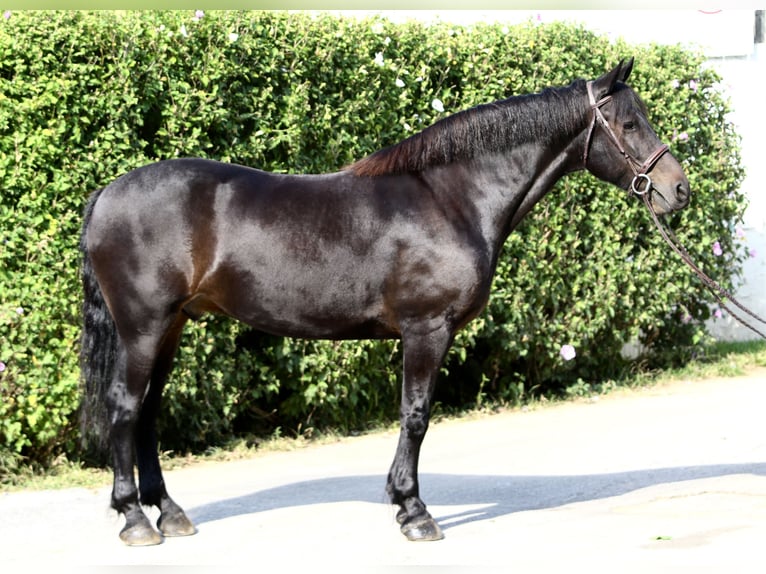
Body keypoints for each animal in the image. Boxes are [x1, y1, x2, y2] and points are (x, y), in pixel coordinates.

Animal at [80, 58, 690, 546]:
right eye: (629, 123)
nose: (678, 189)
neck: (453, 199)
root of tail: (106, 192)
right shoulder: (427, 329)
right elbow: (415, 416)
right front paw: (413, 511)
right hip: (143, 327)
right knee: (125, 408)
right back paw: (134, 519)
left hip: (171, 327)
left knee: (147, 413)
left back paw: (169, 513)